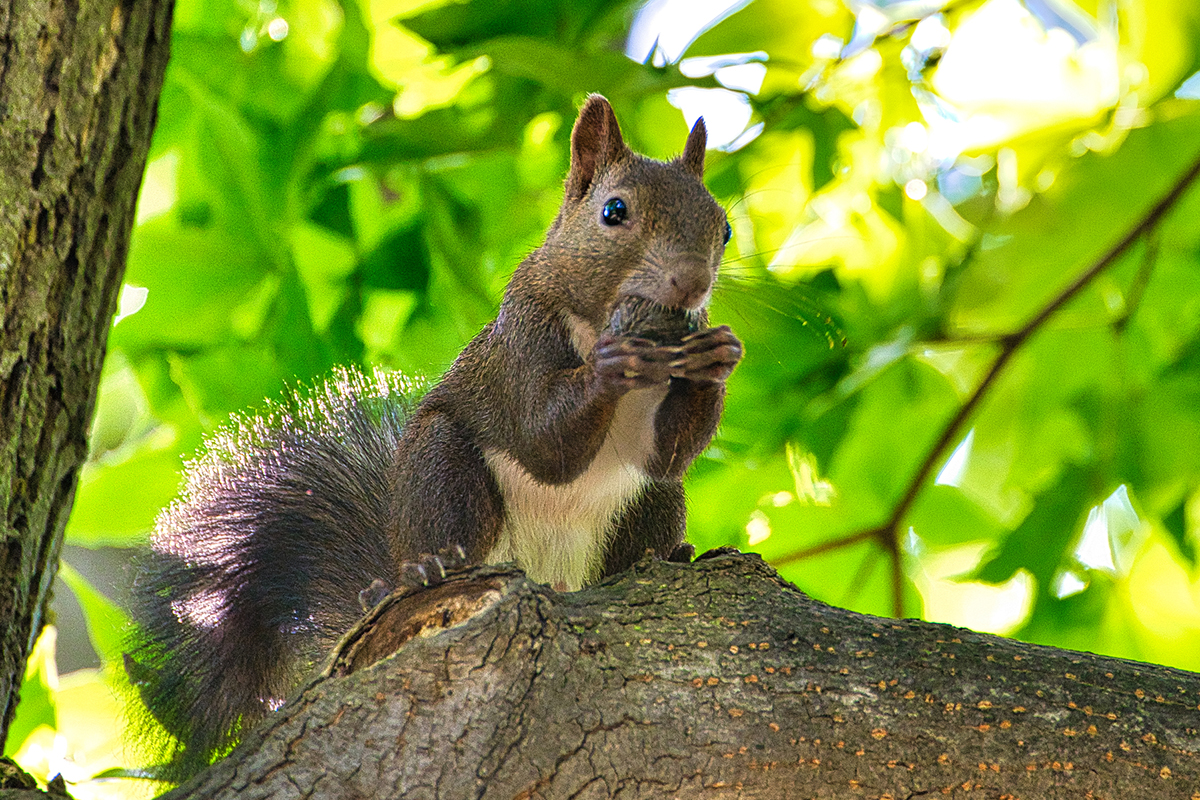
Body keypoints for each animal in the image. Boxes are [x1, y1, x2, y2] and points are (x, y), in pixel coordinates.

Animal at [124, 95, 739, 782]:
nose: (691, 285)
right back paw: (426, 567)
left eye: (723, 229)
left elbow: (666, 453)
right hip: (442, 468)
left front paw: (718, 355)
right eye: (614, 212)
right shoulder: (519, 343)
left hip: (647, 505)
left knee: (649, 514)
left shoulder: (653, 437)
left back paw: (670, 555)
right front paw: (612, 363)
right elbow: (543, 441)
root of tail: (552, 576)